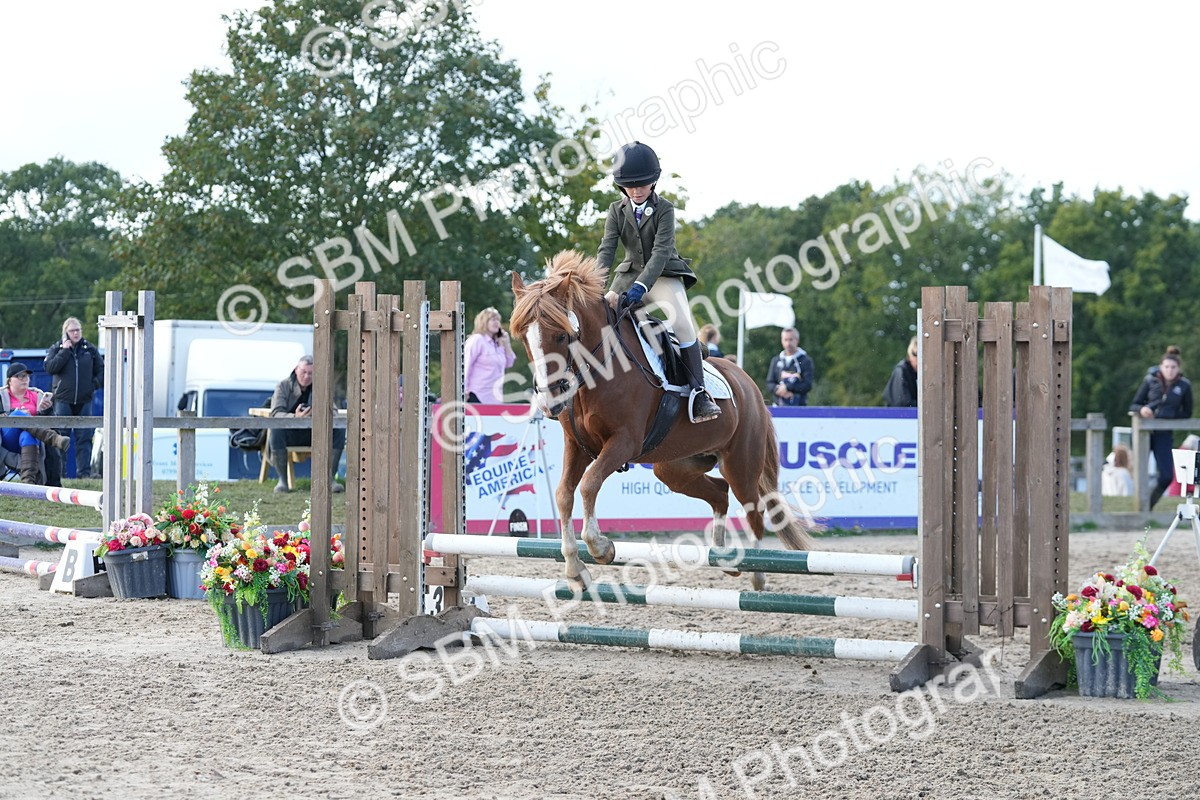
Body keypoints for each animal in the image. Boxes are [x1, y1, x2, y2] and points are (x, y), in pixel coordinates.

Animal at [509, 251, 818, 591]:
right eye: (524, 338)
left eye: (562, 335)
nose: (550, 401)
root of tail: (748, 384)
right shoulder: (576, 445)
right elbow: (564, 495)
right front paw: (576, 571)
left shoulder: (623, 442)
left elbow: (589, 484)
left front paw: (601, 548)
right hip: (674, 468)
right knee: (720, 493)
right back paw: (724, 558)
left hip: (741, 464)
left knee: (753, 509)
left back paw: (756, 573)